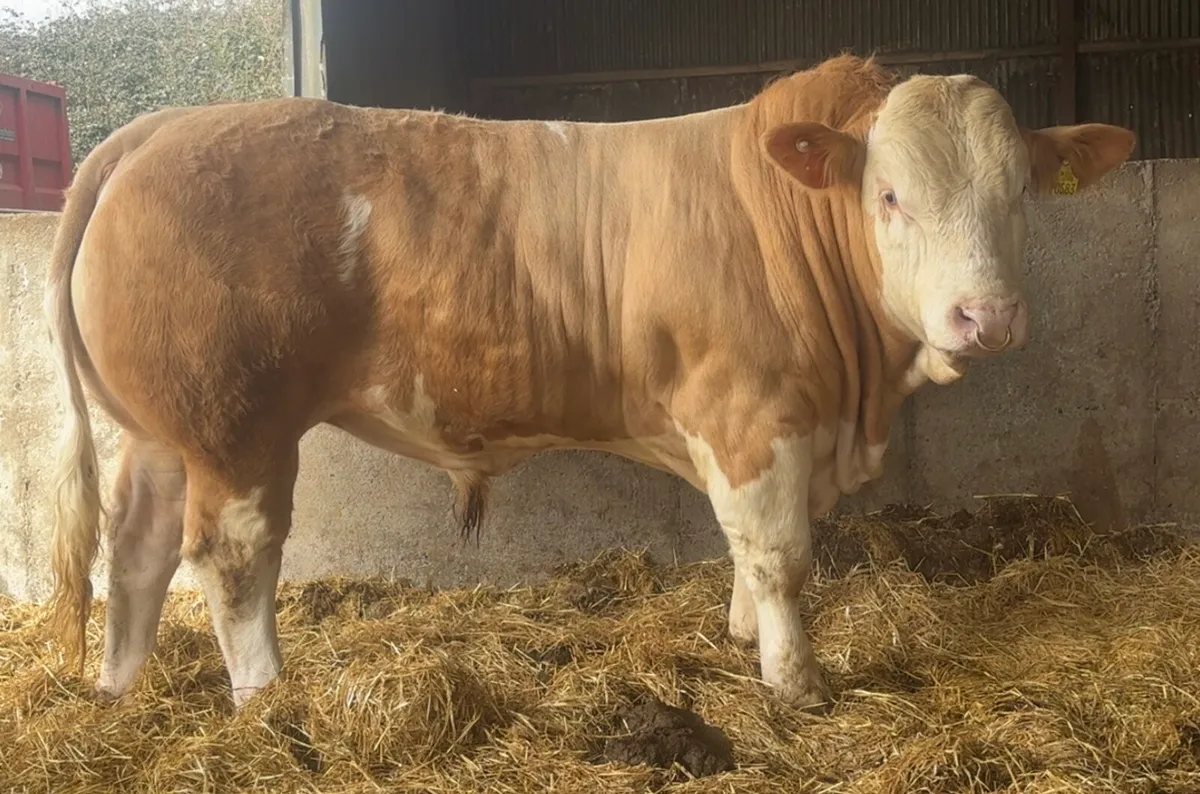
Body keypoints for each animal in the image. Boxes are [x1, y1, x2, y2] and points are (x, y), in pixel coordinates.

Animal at [43, 55, 1134, 710]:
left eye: (1020, 192)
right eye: (891, 195)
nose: (985, 316)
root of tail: (154, 129)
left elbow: (748, 554)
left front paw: (741, 637)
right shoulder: (752, 415)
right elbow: (781, 553)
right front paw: (794, 683)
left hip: (159, 432)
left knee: (135, 551)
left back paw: (118, 690)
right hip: (235, 427)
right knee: (230, 560)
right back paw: (267, 698)